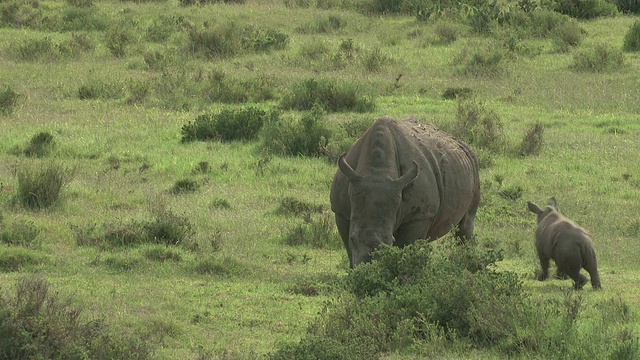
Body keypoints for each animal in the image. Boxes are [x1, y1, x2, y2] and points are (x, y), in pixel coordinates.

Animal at [330, 115, 480, 268]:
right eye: (352, 239)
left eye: (390, 241)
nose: (369, 266)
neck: (377, 172)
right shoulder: (340, 211)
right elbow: (349, 251)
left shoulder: (419, 216)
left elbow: (406, 247)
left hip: (474, 167)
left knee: (465, 226)